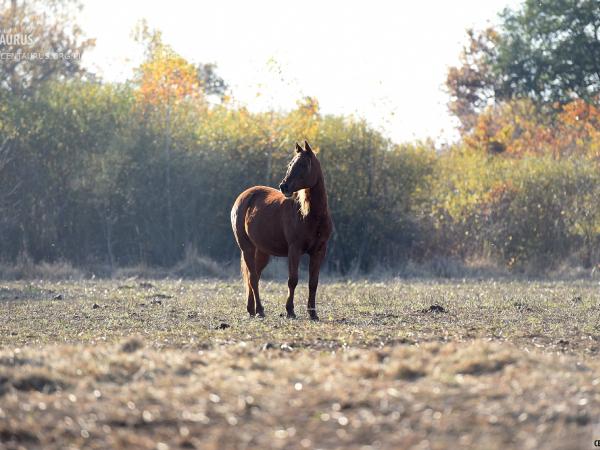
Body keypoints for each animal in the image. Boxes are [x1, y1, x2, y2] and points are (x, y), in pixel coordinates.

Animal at [230, 141, 332, 320]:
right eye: (290, 164)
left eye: (303, 164)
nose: (283, 186)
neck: (310, 215)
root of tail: (244, 196)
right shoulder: (294, 249)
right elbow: (293, 280)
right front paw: (290, 311)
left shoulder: (319, 251)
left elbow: (313, 282)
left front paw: (313, 313)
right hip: (247, 248)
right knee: (254, 278)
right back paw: (260, 310)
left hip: (262, 252)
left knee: (252, 276)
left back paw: (252, 310)